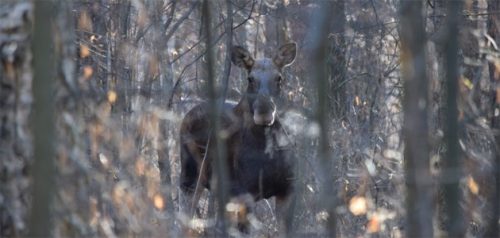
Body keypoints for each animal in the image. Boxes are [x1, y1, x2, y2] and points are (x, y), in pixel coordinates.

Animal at [180, 42, 296, 232]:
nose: (264, 112)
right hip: (190, 177)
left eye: (279, 78)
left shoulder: (286, 191)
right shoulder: (244, 192)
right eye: (250, 78)